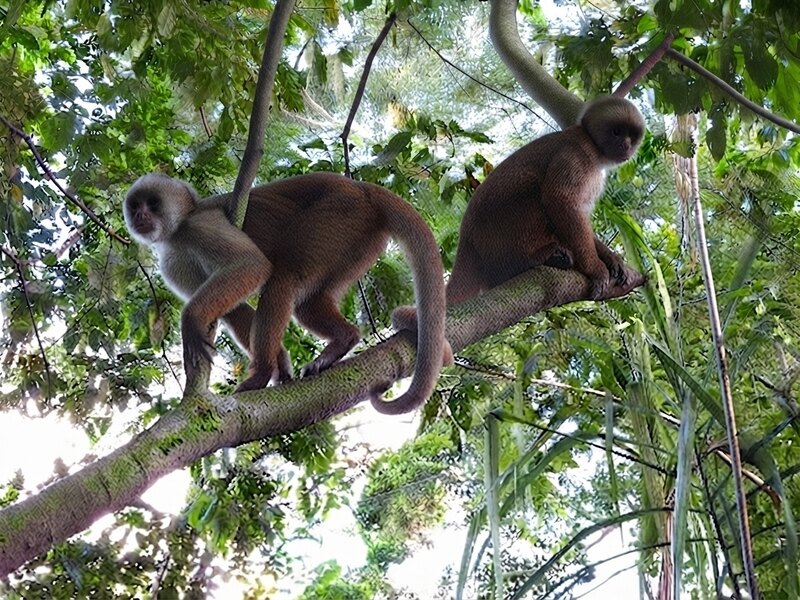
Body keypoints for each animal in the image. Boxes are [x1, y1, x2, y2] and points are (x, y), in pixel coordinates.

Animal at [123, 172, 447, 415]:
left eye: (152, 203)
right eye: (135, 205)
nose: (140, 214)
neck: (178, 232)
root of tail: (360, 188)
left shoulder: (201, 225)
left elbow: (252, 266)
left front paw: (191, 320)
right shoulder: (173, 261)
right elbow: (235, 309)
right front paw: (280, 366)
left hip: (340, 213)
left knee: (283, 277)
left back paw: (261, 372)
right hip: (359, 238)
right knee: (307, 302)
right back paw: (342, 340)